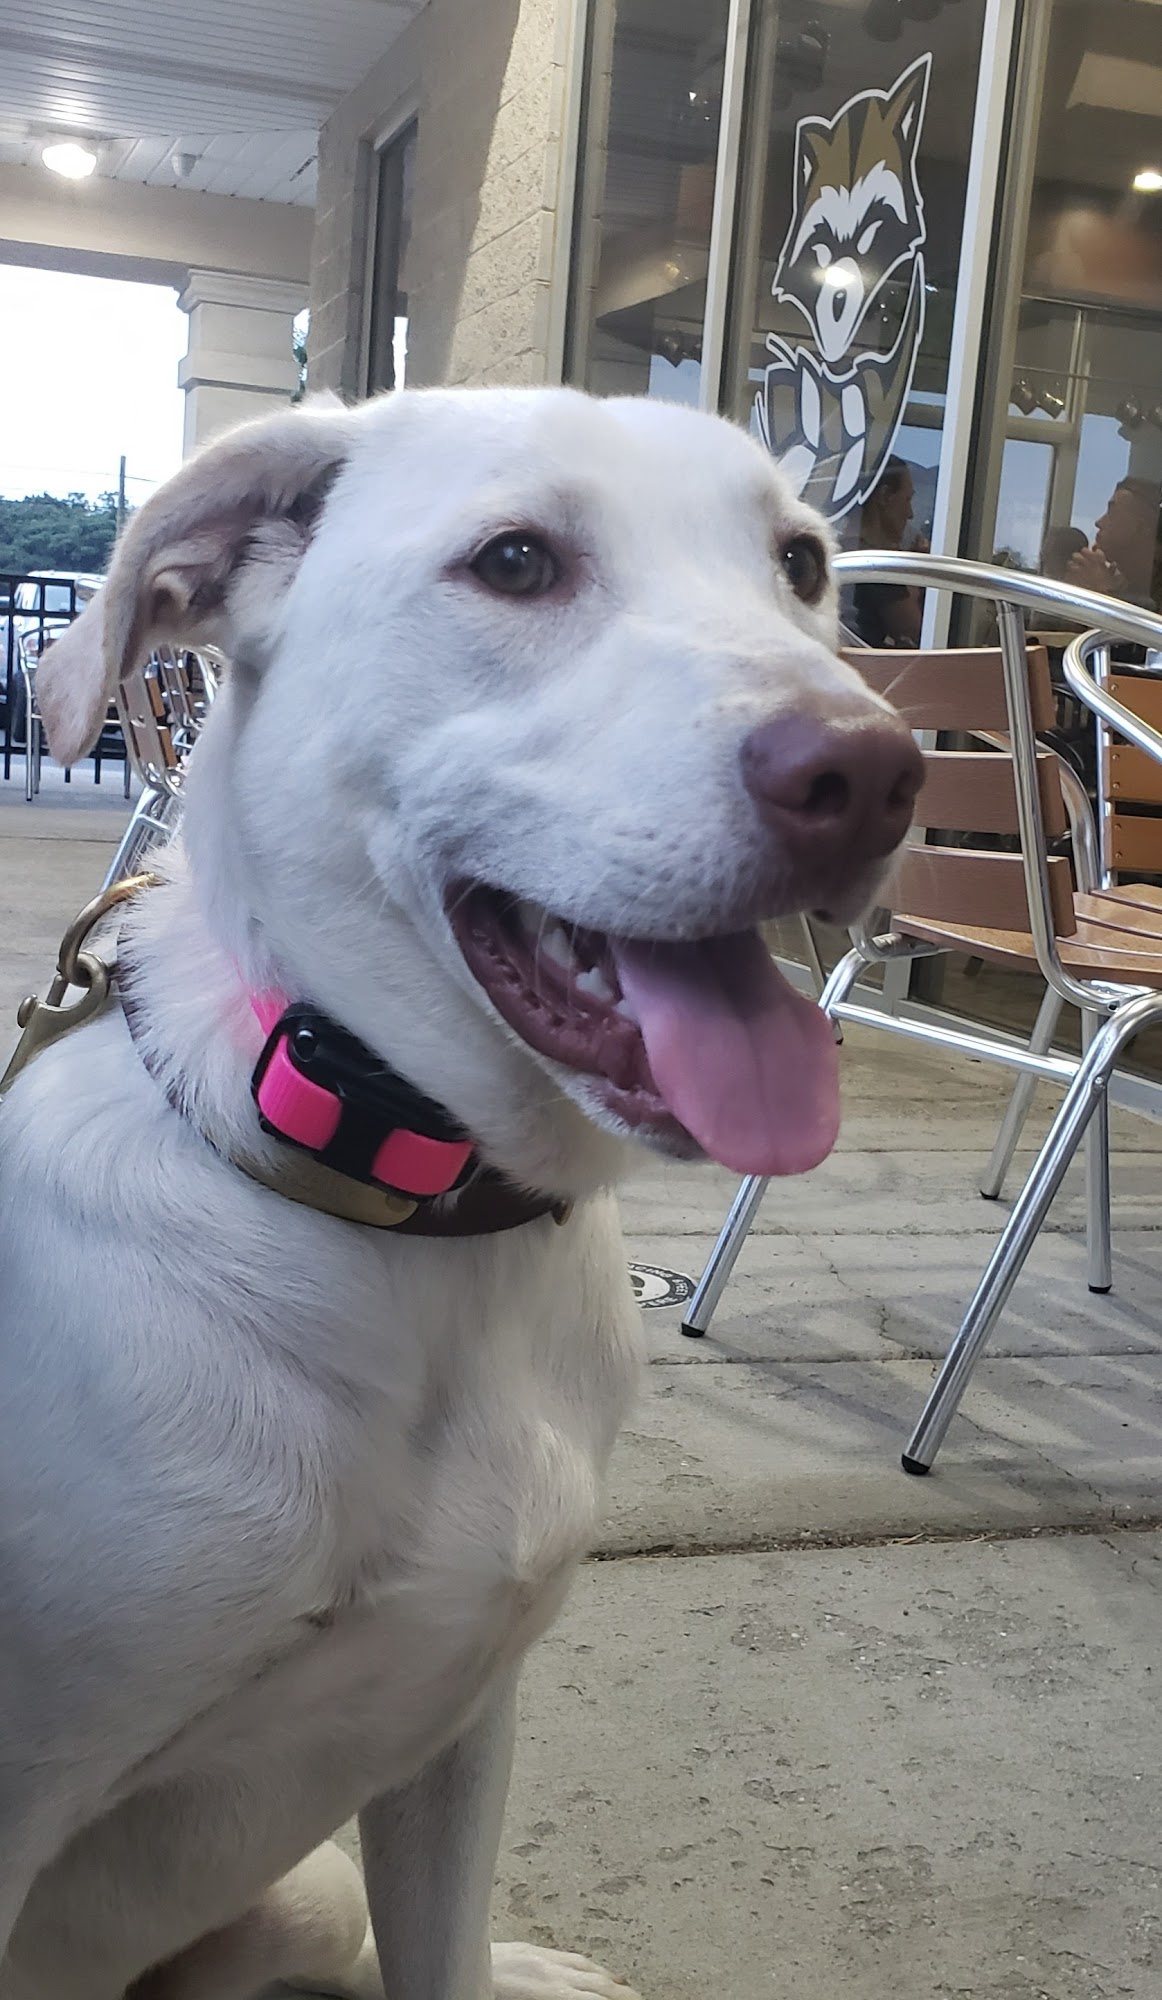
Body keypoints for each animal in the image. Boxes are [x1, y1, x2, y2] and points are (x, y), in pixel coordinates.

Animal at [0, 386, 921, 2000]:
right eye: (513, 561)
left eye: (803, 564)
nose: (872, 774)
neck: (411, 1213)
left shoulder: (454, 1721)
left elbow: (440, 1955)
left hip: (301, 1893)